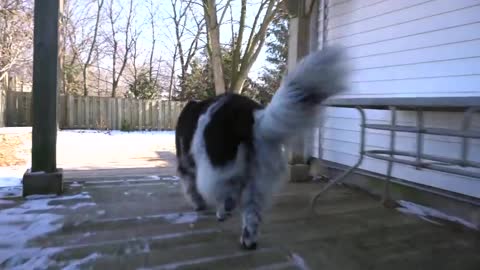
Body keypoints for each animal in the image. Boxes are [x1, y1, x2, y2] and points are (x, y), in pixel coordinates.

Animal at [174, 46, 346, 249]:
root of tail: (249, 115)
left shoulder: (186, 164)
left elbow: (191, 187)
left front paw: (199, 204)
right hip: (260, 177)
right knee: (252, 212)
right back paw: (248, 240)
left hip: (217, 166)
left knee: (227, 194)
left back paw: (224, 212)